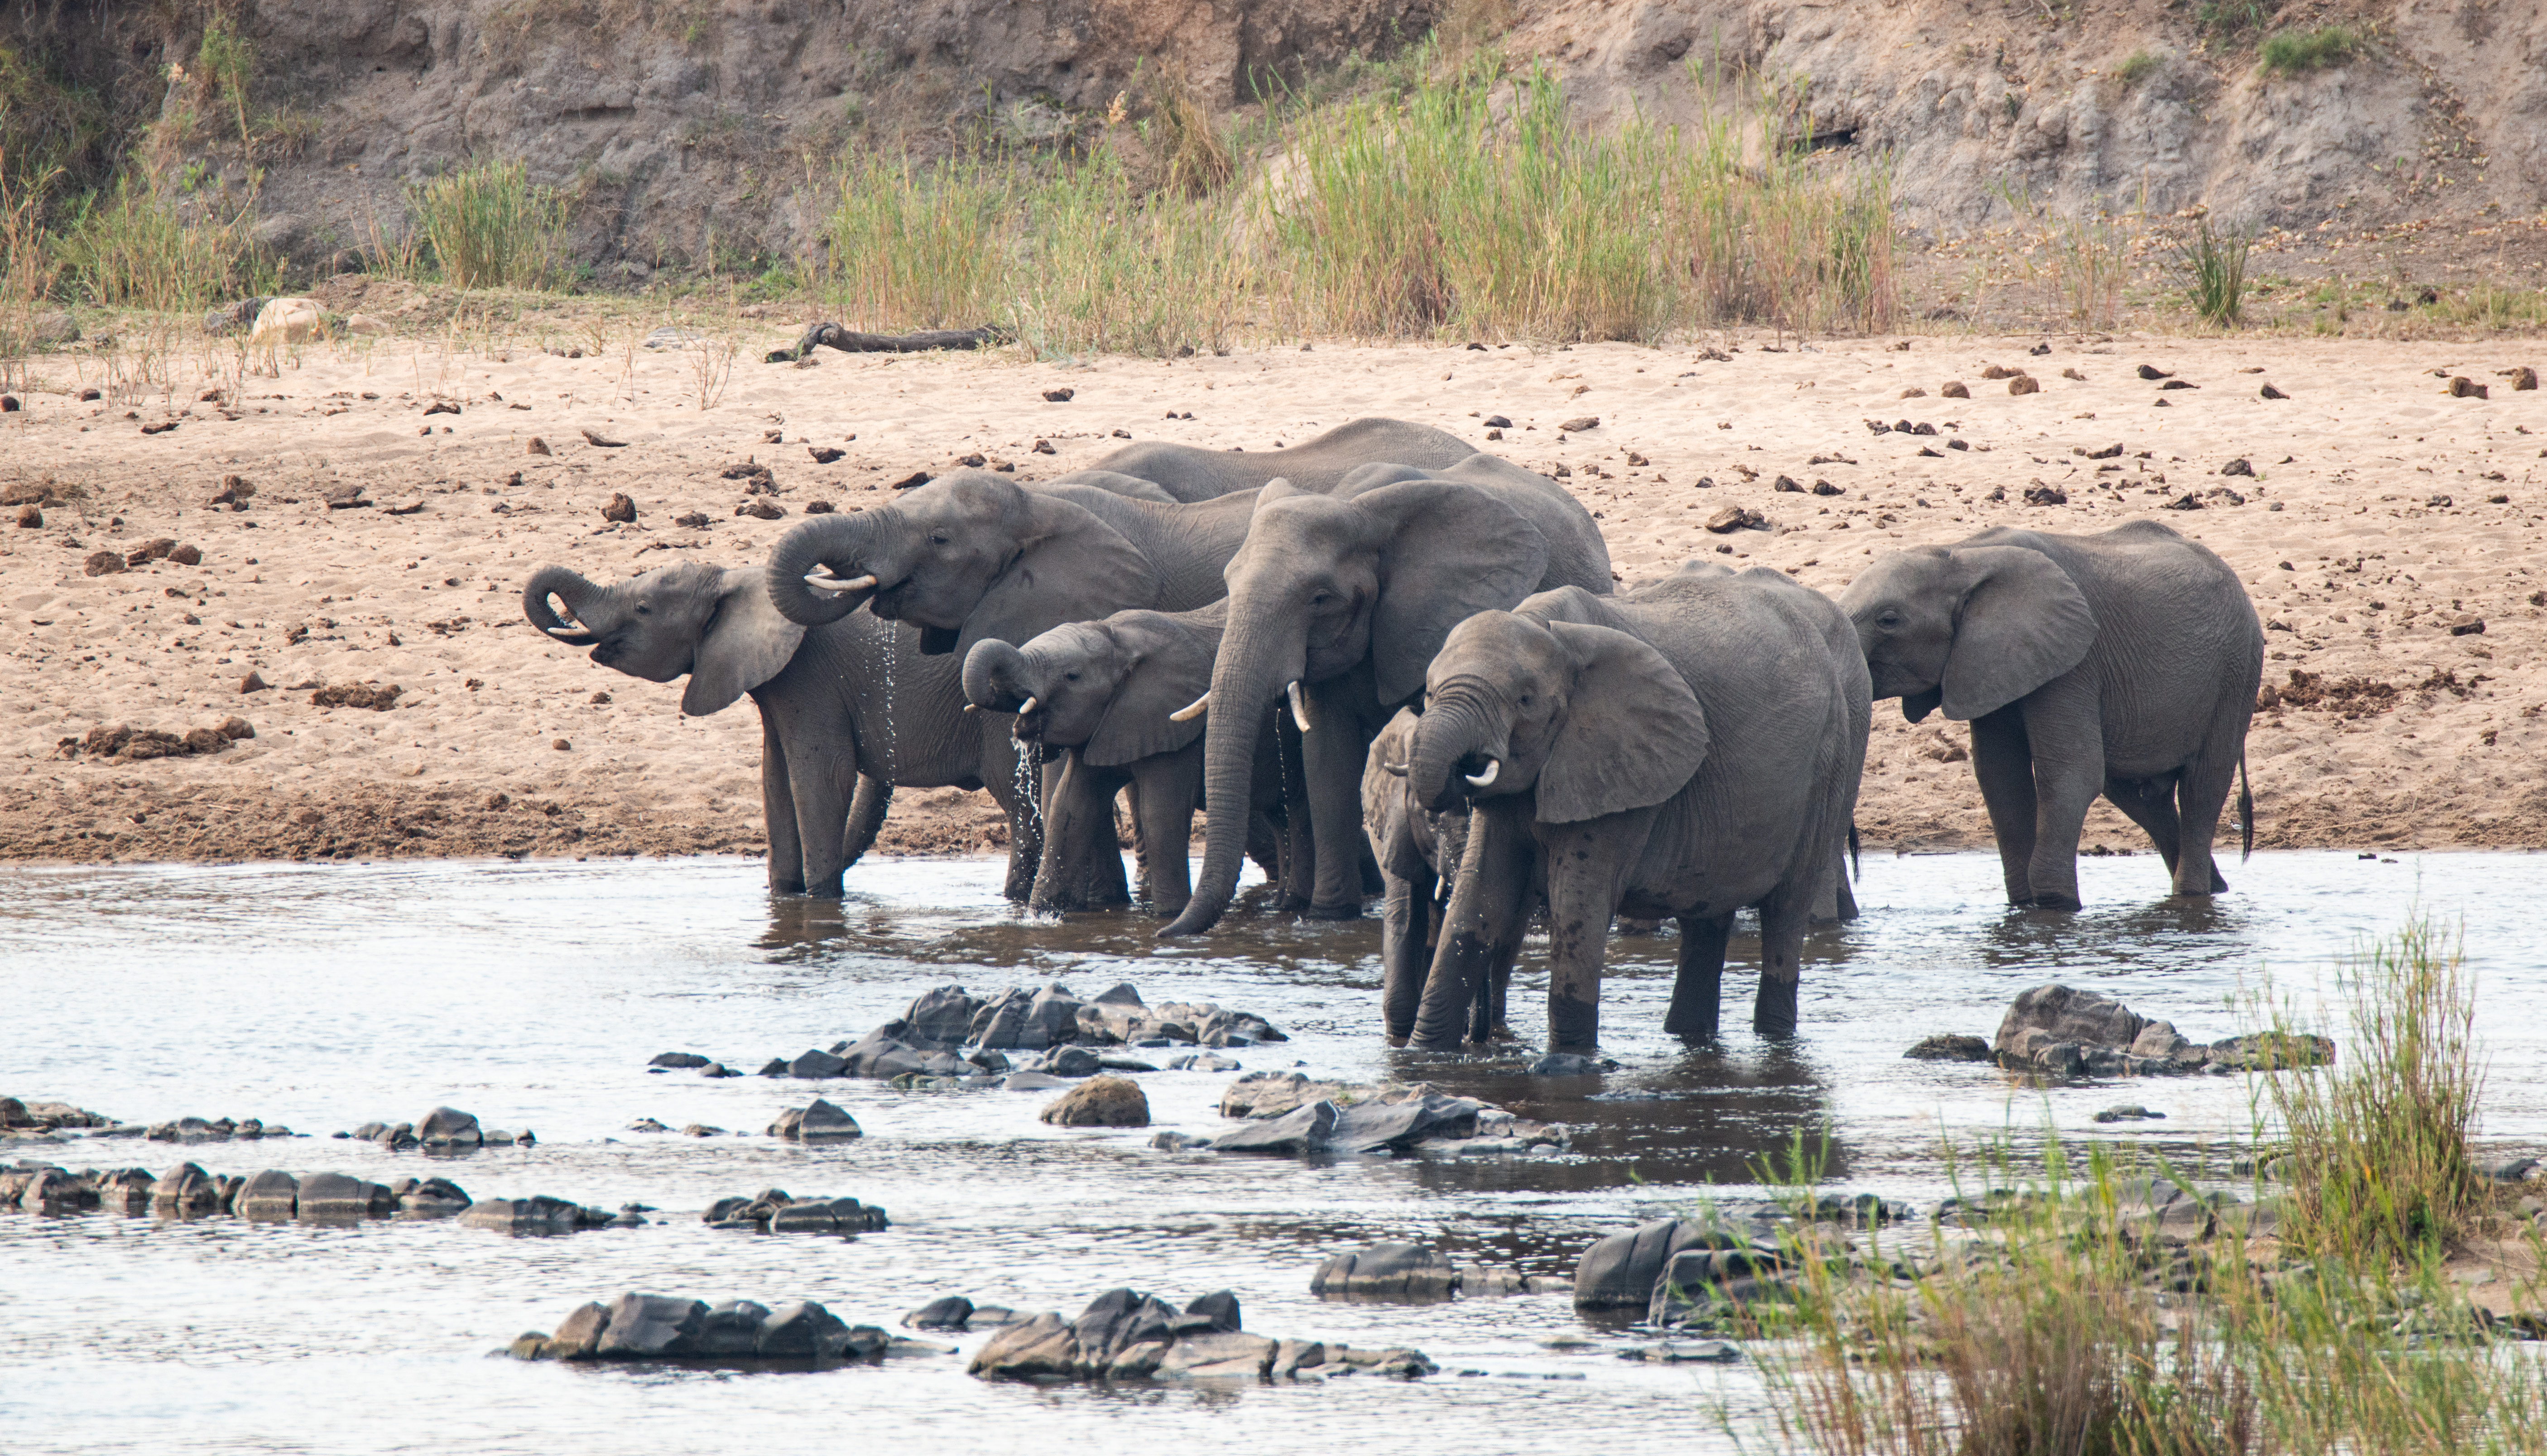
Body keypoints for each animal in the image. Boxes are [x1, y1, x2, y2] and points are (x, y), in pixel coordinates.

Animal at [522, 557, 1039, 901]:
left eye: (644, 608)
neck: (738, 581)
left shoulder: (810, 679)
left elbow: (820, 776)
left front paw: (821, 901)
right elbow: (775, 779)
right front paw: (785, 896)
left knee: (1019, 809)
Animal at [1161, 450, 1610, 937]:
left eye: (1320, 599)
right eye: (1227, 583)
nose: (1164, 935)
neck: (1357, 510)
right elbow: (1327, 760)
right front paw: (1328, 919)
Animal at [1395, 562, 1874, 1054]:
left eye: (1525, 700)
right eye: (1428, 695)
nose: (1462, 770)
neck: (1547, 630)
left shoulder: (1622, 764)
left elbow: (1577, 907)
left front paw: (1567, 1062)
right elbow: (1478, 898)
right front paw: (1424, 1054)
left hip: (1834, 761)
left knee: (1786, 912)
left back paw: (1774, 1040)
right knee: (1705, 918)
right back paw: (1689, 1036)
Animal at [1844, 519, 2262, 911]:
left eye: (1888, 620)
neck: (1960, 555)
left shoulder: (2074, 661)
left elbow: (2070, 773)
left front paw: (2054, 906)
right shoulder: (1986, 662)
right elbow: (2000, 779)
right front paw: (2023, 905)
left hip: (2237, 673)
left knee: (2202, 786)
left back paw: (2191, 896)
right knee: (2139, 797)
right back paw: (2215, 888)